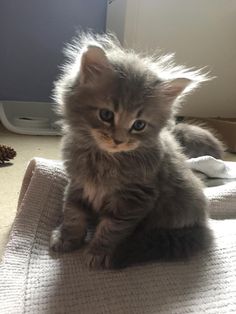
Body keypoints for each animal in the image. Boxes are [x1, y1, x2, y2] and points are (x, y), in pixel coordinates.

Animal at [49, 33, 212, 270]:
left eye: (139, 125)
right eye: (106, 115)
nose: (118, 140)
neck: (103, 159)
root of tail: (204, 225)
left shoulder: (134, 199)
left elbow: (111, 228)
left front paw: (98, 252)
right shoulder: (77, 182)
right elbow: (73, 213)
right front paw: (67, 238)